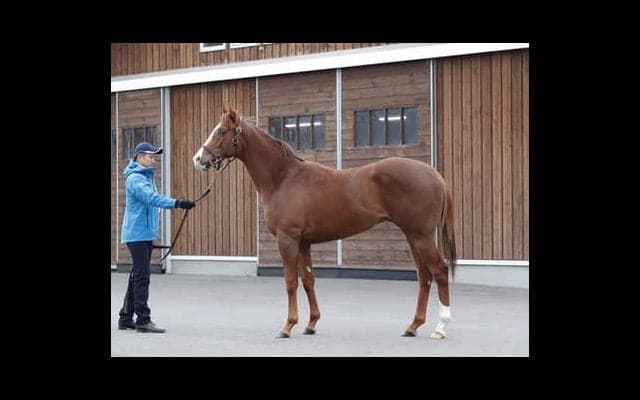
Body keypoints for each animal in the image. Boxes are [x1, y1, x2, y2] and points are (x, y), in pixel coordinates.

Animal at [193, 108, 457, 339]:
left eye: (221, 131)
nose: (199, 159)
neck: (283, 178)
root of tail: (436, 176)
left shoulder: (287, 240)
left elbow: (290, 282)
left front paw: (287, 326)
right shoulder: (304, 242)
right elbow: (308, 281)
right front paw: (311, 324)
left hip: (421, 236)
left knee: (439, 270)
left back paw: (440, 327)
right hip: (412, 236)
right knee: (424, 276)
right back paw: (412, 326)